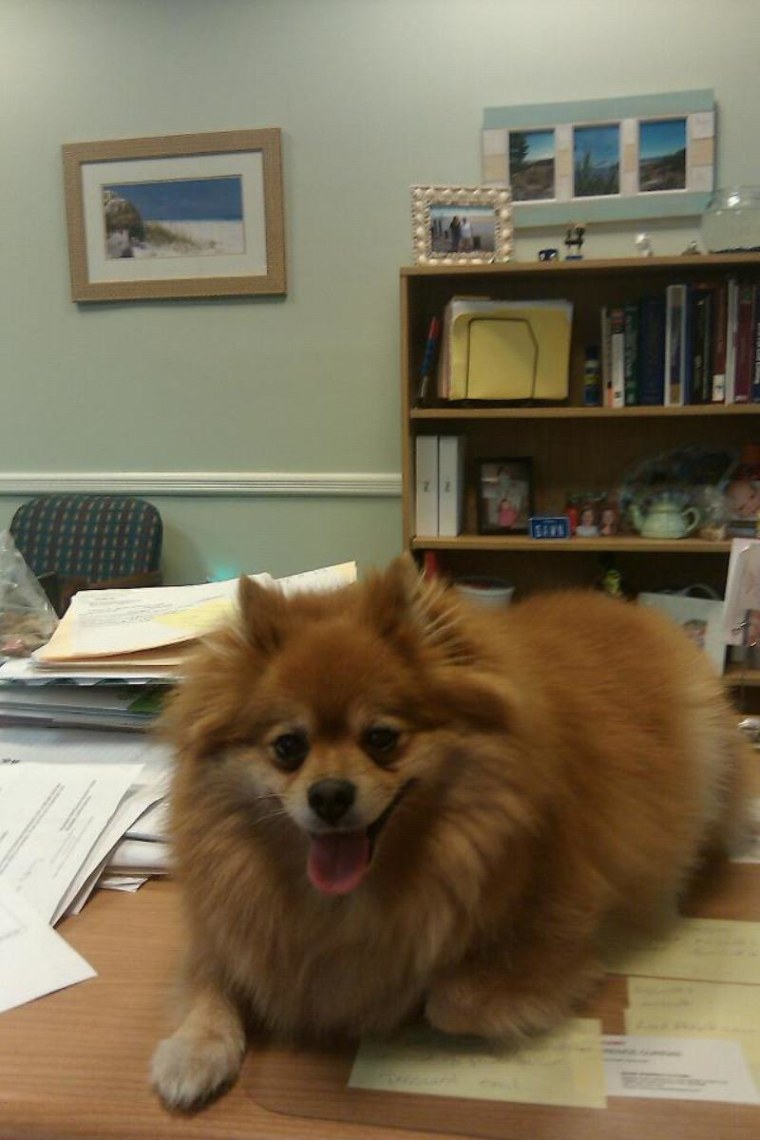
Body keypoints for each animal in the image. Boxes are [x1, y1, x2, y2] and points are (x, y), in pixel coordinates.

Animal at [150, 556, 756, 1108]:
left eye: (382, 739)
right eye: (288, 747)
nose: (329, 795)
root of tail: (635, 612)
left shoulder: (556, 928)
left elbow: (447, 1000)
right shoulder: (230, 924)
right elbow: (208, 980)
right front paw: (193, 1050)